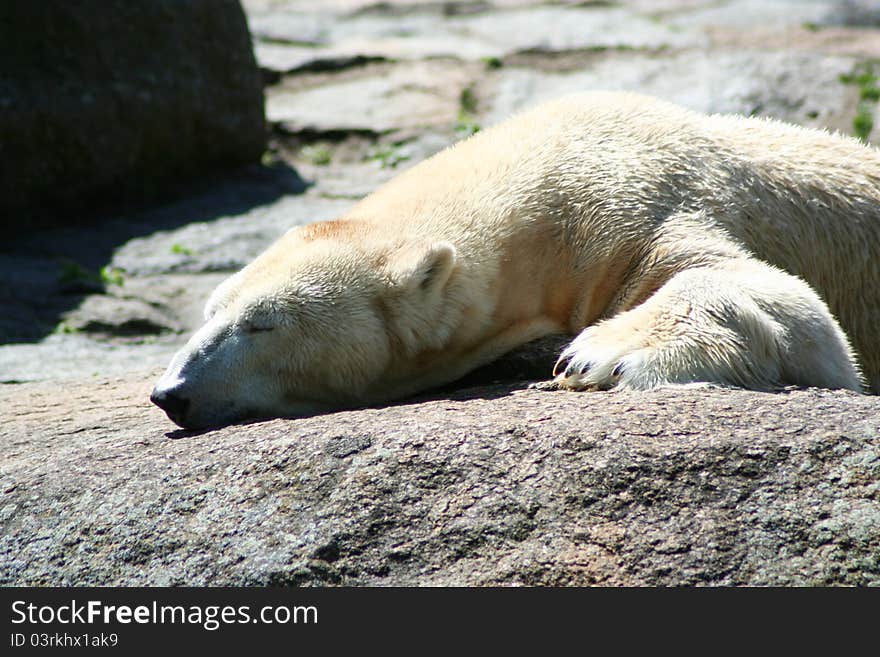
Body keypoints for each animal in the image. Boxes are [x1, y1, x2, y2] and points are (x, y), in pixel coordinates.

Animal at [151, 92, 880, 430]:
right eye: (210, 311)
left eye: (262, 324)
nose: (171, 392)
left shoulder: (649, 207)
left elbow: (791, 308)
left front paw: (597, 354)